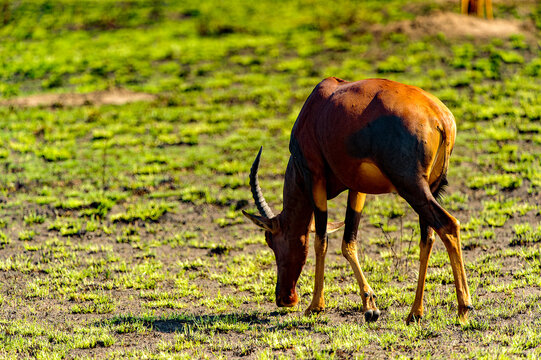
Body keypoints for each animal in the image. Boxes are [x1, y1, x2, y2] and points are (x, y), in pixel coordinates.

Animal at [243, 76, 470, 324]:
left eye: (271, 240)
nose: (285, 298)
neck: (317, 107)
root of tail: (441, 118)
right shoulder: (357, 187)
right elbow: (348, 242)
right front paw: (370, 307)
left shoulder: (315, 178)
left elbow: (321, 240)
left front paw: (315, 307)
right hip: (431, 187)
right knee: (427, 237)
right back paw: (414, 313)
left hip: (411, 186)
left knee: (448, 225)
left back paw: (463, 309)